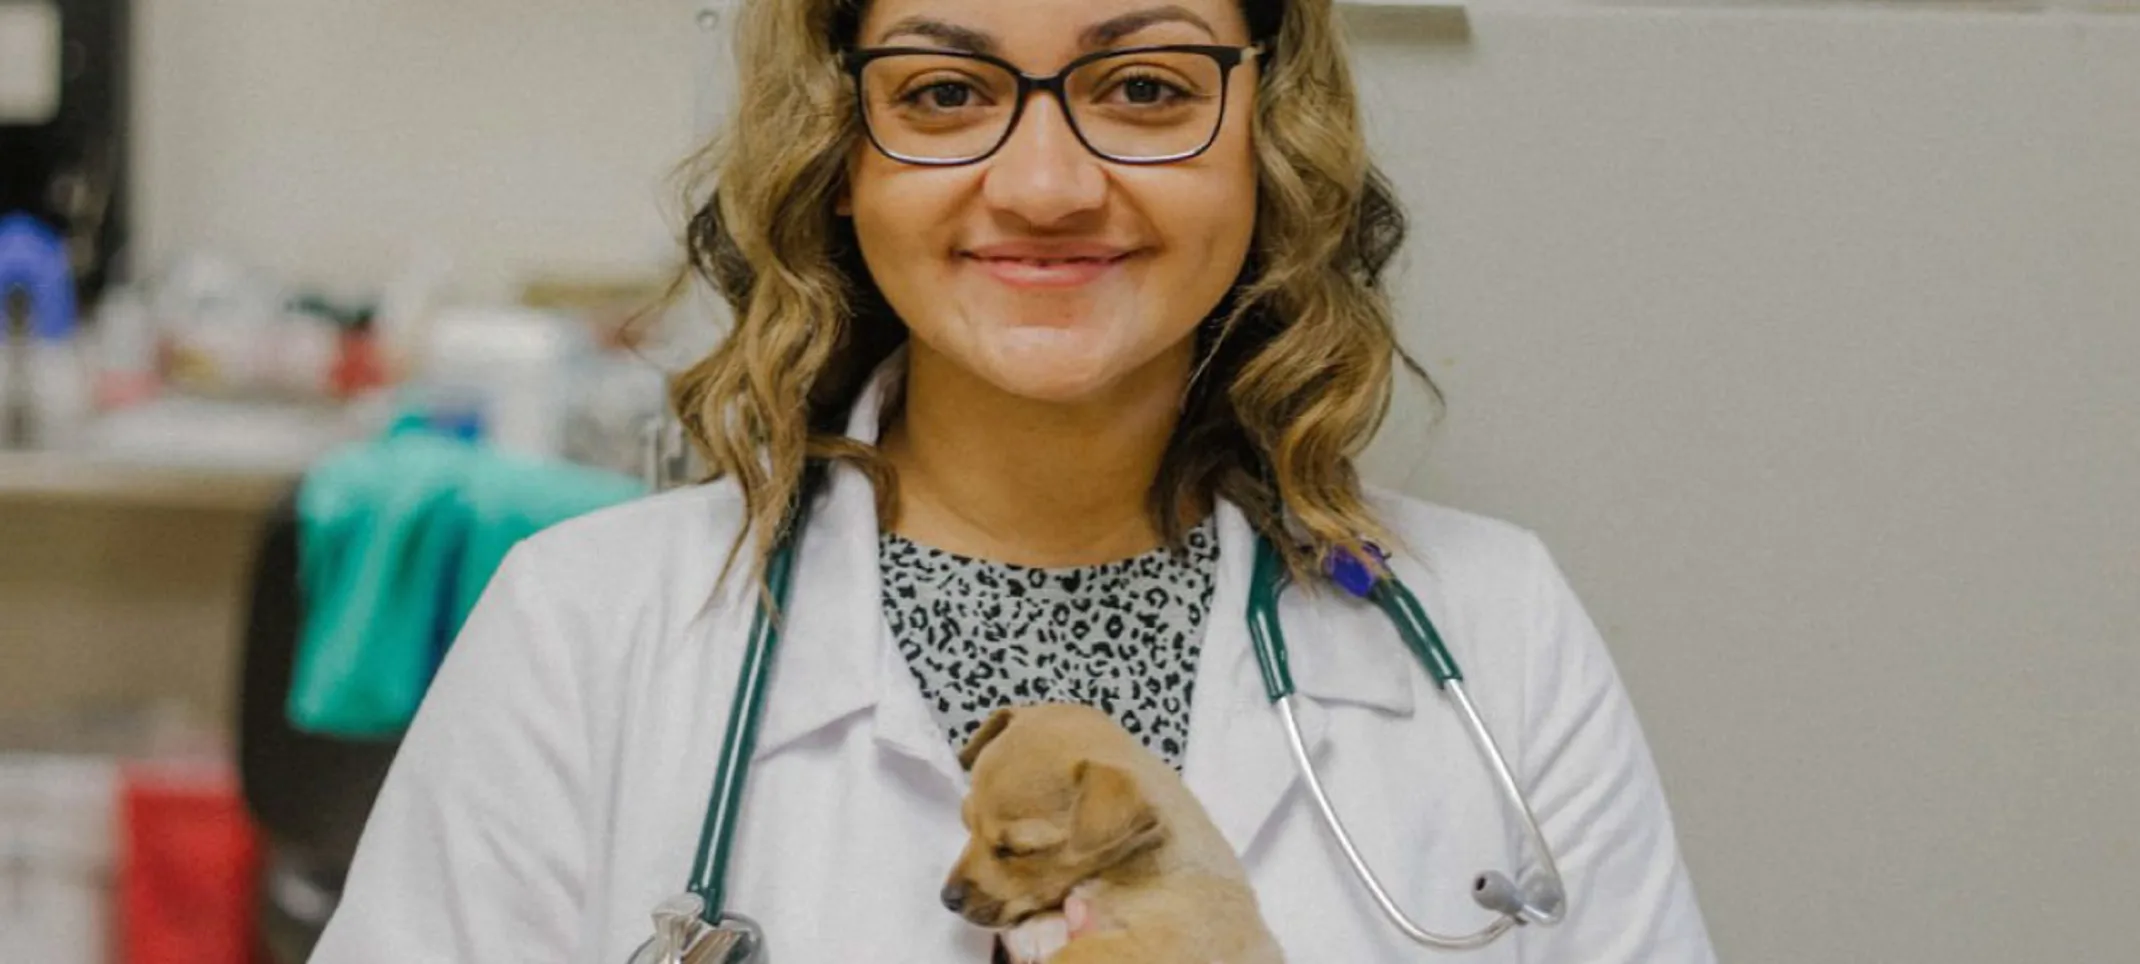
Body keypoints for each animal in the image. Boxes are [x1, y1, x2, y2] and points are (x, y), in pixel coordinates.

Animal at [941, 698, 1275, 964]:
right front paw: (1040, 927)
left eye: (1018, 850)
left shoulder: (1168, 943)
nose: (947, 899)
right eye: (967, 825)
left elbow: (1078, 953)